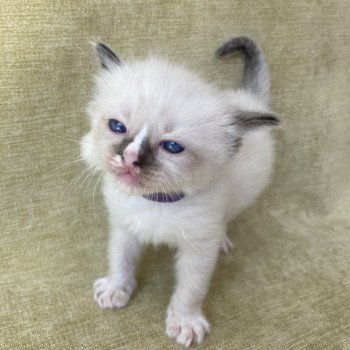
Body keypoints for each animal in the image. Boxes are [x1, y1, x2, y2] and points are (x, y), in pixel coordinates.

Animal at [81, 37, 278, 346]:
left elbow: (191, 290)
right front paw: (116, 289)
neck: (157, 202)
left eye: (172, 147)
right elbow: (120, 261)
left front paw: (185, 322)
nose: (129, 158)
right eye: (117, 126)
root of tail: (246, 99)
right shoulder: (124, 228)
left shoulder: (198, 249)